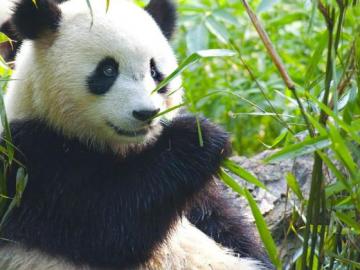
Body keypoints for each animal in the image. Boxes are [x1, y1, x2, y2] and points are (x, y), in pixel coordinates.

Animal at [0, 0, 272, 268]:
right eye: (108, 70)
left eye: (155, 71)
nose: (146, 113)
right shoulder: (32, 162)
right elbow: (108, 223)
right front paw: (198, 137)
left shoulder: (198, 202)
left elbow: (224, 223)